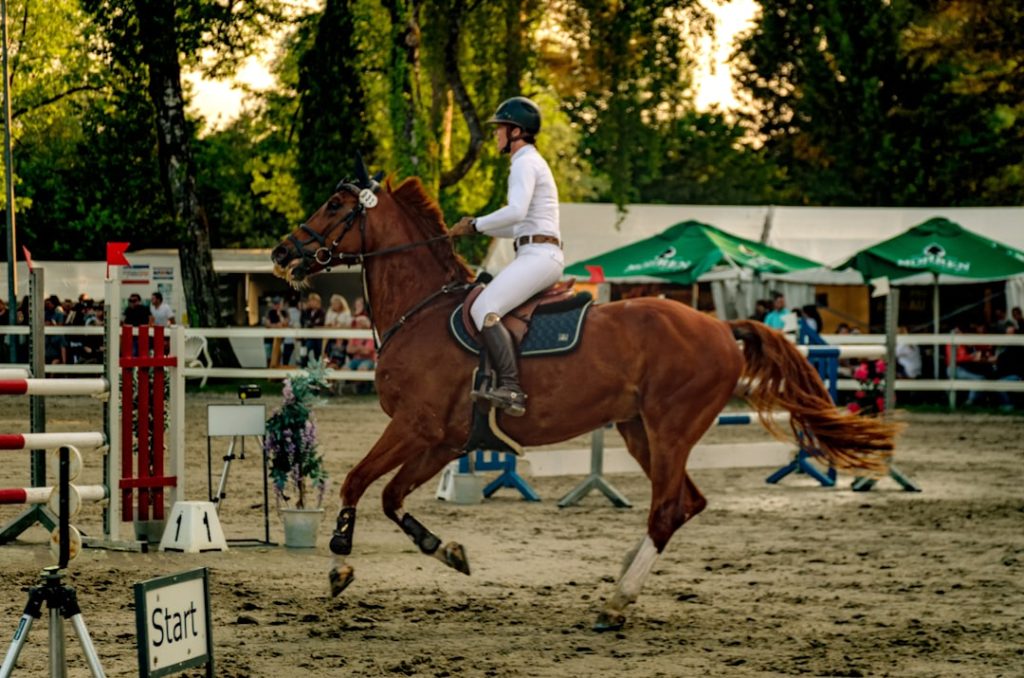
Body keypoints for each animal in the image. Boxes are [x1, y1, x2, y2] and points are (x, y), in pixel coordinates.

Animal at [272, 165, 896, 631]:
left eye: (334, 204)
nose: (281, 253)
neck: (421, 309)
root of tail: (721, 326)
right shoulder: (445, 441)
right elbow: (390, 496)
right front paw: (445, 549)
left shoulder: (414, 427)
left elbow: (357, 481)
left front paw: (338, 564)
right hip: (639, 430)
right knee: (684, 504)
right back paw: (623, 581)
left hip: (669, 429)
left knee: (667, 508)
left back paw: (616, 603)